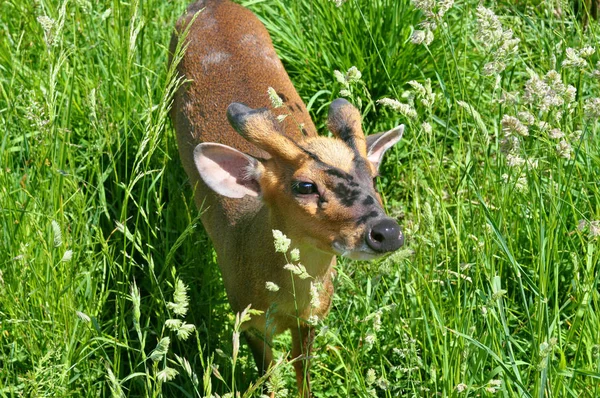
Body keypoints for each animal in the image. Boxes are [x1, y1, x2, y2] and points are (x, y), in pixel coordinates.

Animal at [171, 0, 406, 394]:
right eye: (305, 186)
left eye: (373, 178)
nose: (387, 232)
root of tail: (209, 4)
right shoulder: (245, 316)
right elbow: (268, 375)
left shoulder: (314, 315)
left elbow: (302, 370)